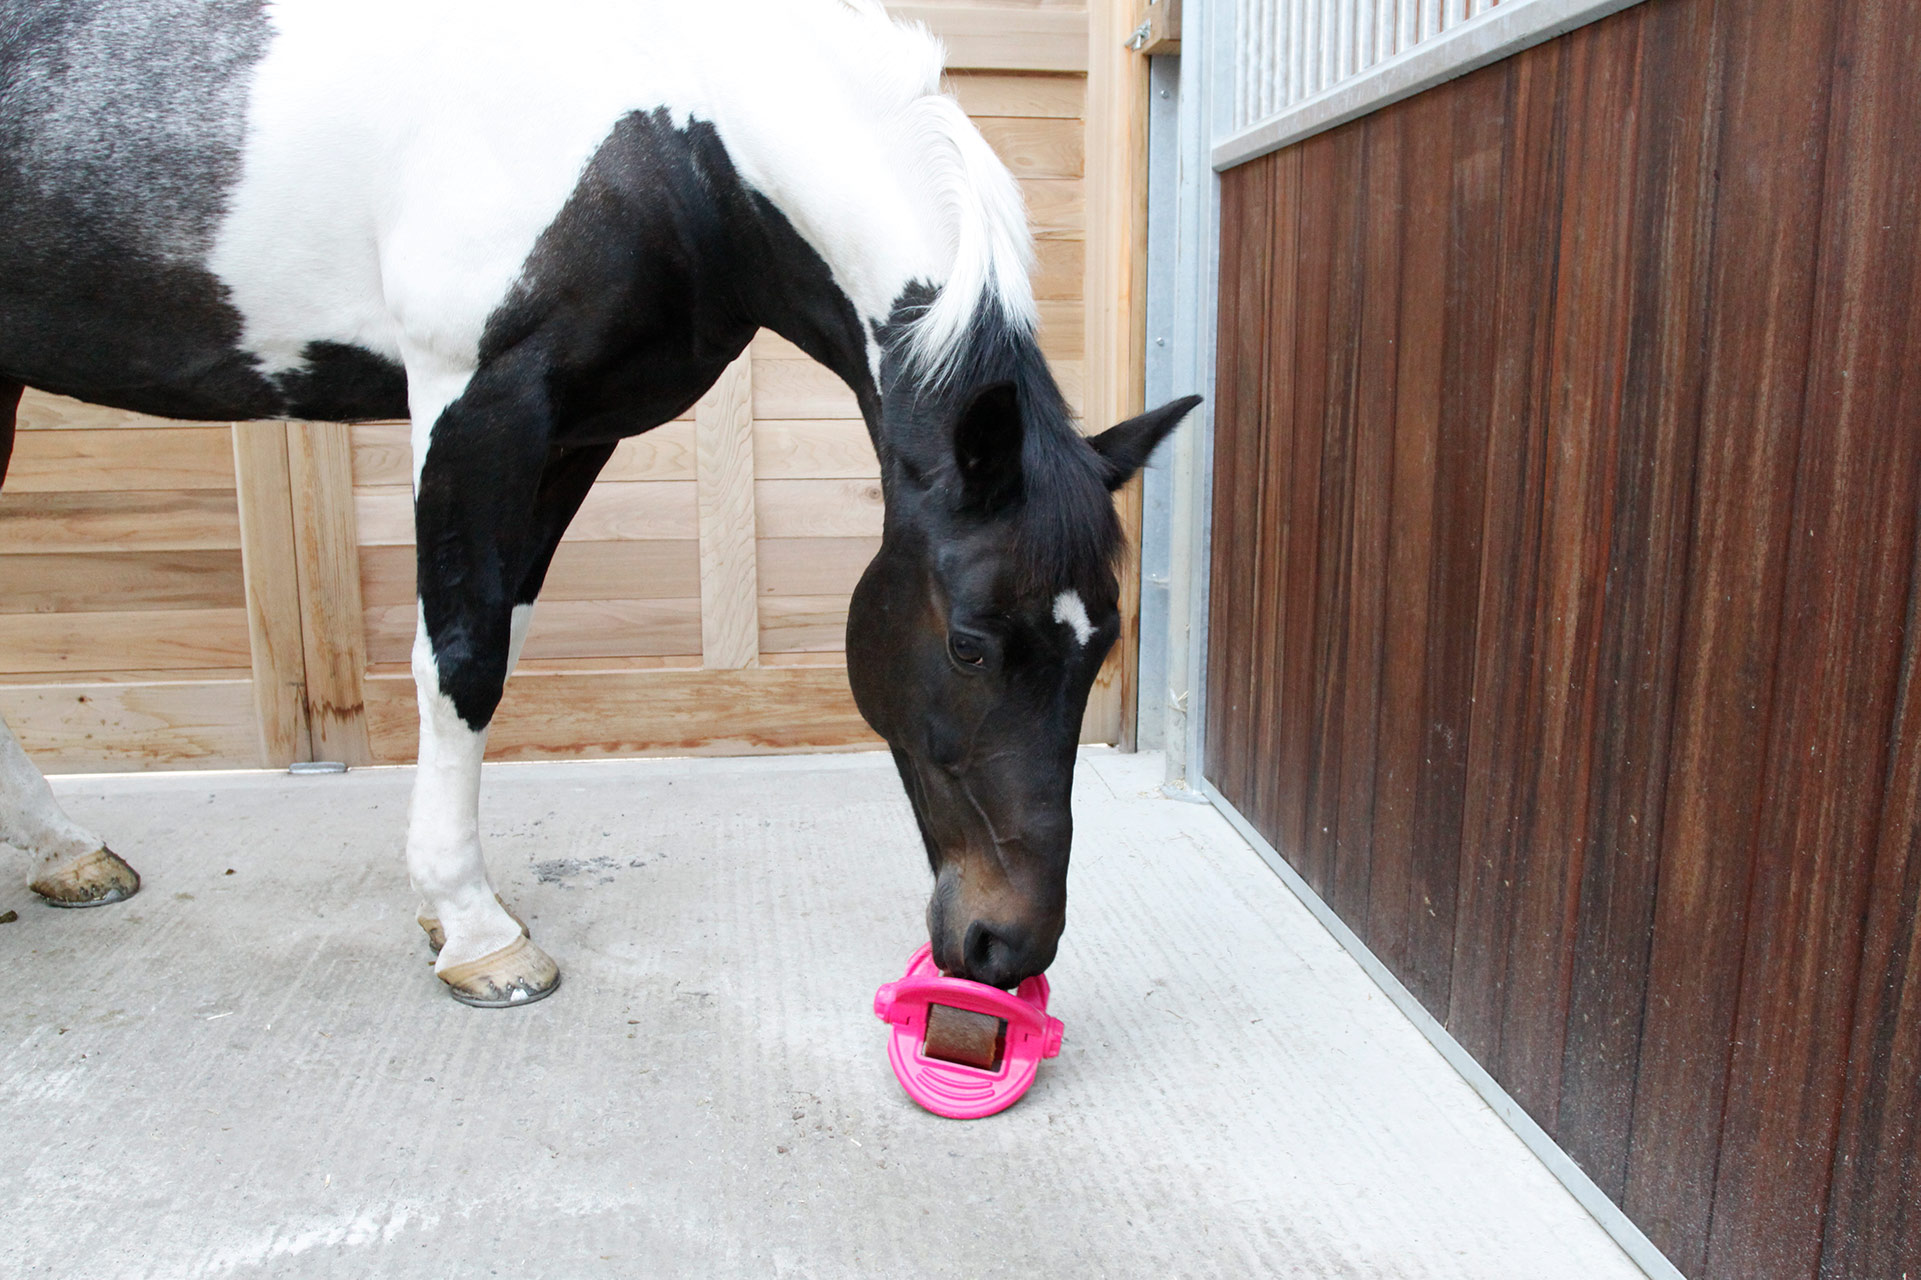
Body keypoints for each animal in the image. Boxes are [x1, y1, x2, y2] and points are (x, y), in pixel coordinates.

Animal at [0, 0, 1198, 1005]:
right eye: (966, 645)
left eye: (1103, 644)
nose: (1008, 949)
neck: (670, 127)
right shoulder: (472, 398)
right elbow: (462, 656)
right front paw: (477, 931)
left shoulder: (575, 430)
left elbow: (503, 636)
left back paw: (65, 852)